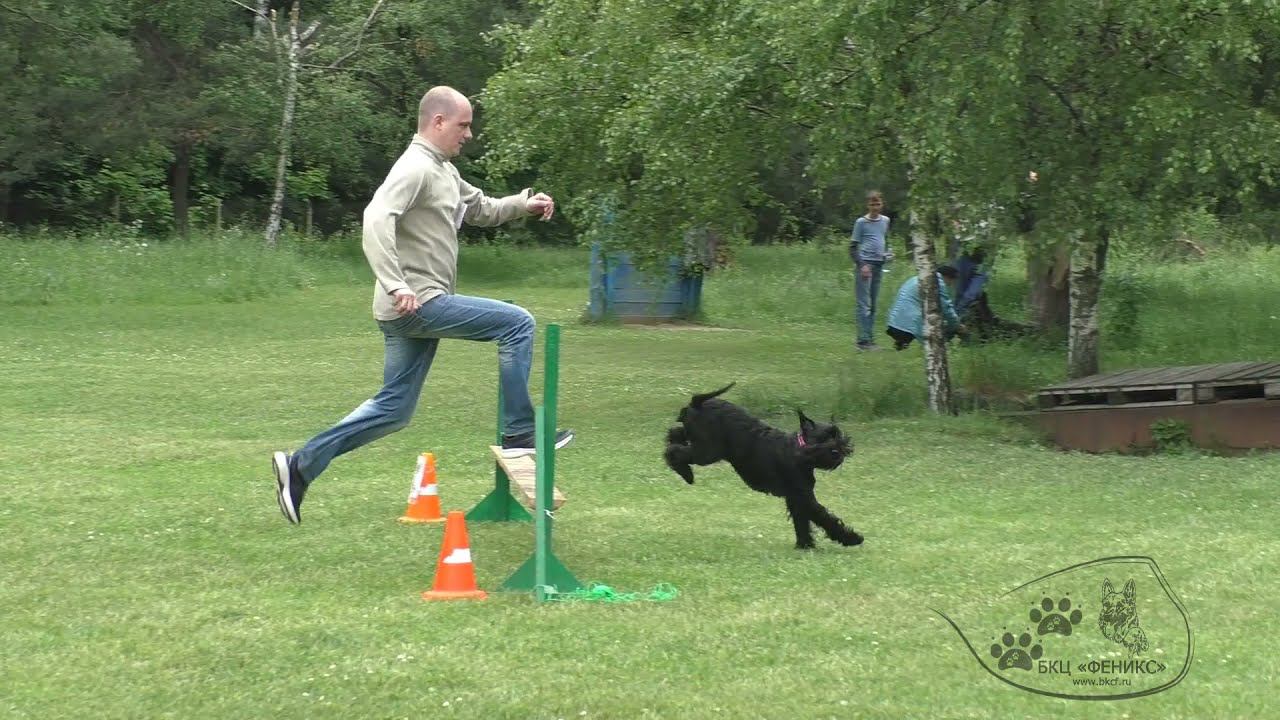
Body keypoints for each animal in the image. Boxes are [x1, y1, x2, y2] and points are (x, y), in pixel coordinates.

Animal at [665, 384, 865, 545]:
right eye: (823, 438)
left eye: (836, 434)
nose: (839, 450)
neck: (800, 451)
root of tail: (697, 403)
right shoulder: (803, 496)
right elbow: (824, 517)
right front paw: (852, 538)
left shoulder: (796, 497)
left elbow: (802, 521)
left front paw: (805, 545)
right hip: (707, 452)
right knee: (675, 451)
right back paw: (687, 474)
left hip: (698, 442)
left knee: (674, 434)